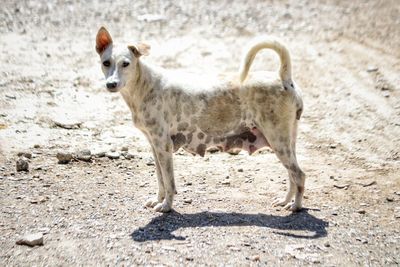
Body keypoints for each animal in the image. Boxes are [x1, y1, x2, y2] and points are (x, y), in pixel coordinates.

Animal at [95, 26, 304, 214]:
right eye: (106, 63)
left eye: (125, 64)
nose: (111, 84)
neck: (144, 86)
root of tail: (284, 79)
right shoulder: (155, 147)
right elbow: (160, 179)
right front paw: (158, 199)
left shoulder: (163, 146)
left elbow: (169, 182)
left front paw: (166, 206)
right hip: (286, 143)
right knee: (292, 176)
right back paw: (286, 201)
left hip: (278, 141)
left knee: (299, 175)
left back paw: (296, 206)